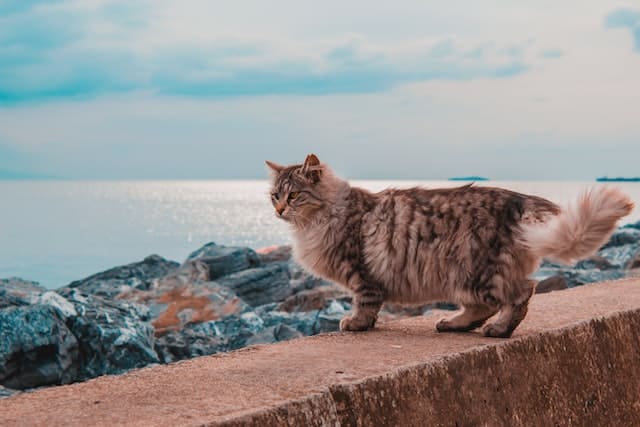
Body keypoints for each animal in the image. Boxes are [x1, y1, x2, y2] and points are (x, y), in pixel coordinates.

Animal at [262, 154, 632, 338]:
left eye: (293, 196)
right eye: (274, 195)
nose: (279, 210)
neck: (316, 222)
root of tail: (519, 199)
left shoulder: (360, 273)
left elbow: (365, 304)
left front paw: (356, 323)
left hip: (472, 270)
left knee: (518, 295)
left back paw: (497, 330)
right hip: (468, 276)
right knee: (488, 305)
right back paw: (454, 324)